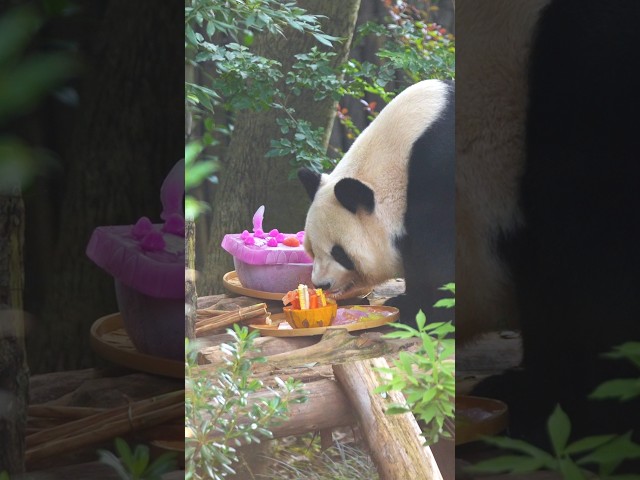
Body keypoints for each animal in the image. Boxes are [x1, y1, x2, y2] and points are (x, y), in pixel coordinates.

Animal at [298, 79, 455, 326]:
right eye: (312, 250)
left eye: (340, 253)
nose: (321, 284)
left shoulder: (437, 172)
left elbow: (437, 252)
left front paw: (432, 313)